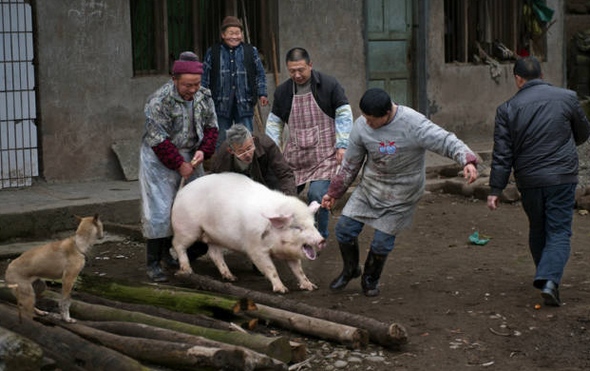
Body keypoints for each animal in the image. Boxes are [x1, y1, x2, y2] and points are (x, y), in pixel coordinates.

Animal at [171, 173, 328, 294]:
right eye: (297, 227)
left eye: (313, 224)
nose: (321, 240)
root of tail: (181, 192)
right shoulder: (255, 249)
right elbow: (271, 268)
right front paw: (282, 290)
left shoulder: (290, 254)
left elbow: (299, 270)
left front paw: (311, 287)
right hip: (187, 228)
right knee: (178, 245)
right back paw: (188, 270)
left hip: (214, 236)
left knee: (214, 254)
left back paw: (231, 277)